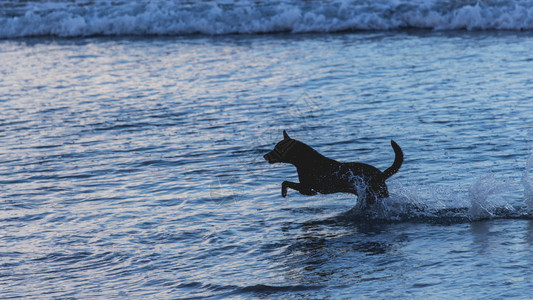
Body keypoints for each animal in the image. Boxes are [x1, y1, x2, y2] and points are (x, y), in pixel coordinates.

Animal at [262, 131, 404, 206]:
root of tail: (381, 174)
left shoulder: (307, 185)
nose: (264, 156)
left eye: (277, 149)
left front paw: (285, 193)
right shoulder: (305, 185)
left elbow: (286, 182)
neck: (305, 161)